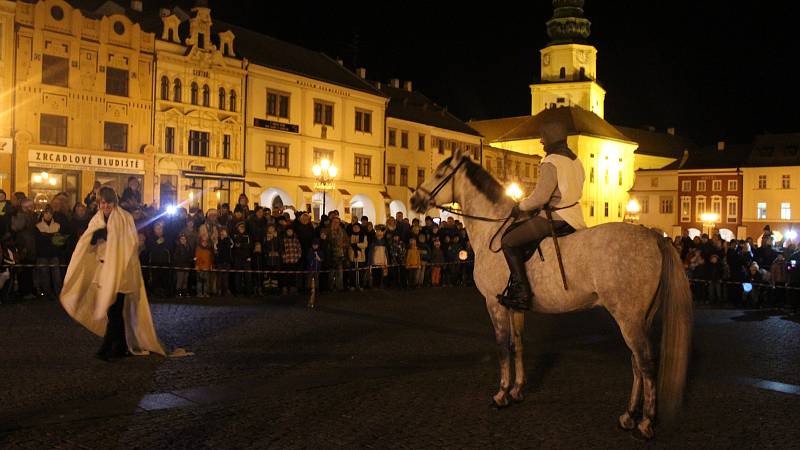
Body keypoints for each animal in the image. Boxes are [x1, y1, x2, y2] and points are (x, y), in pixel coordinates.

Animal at [410, 149, 692, 440]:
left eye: (440, 173)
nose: (415, 199)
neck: (493, 231)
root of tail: (655, 237)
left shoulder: (494, 304)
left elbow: (502, 348)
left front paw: (501, 394)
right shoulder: (514, 306)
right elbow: (517, 345)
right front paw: (517, 390)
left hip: (628, 318)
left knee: (645, 363)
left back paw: (645, 423)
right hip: (641, 318)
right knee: (637, 363)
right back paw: (628, 416)